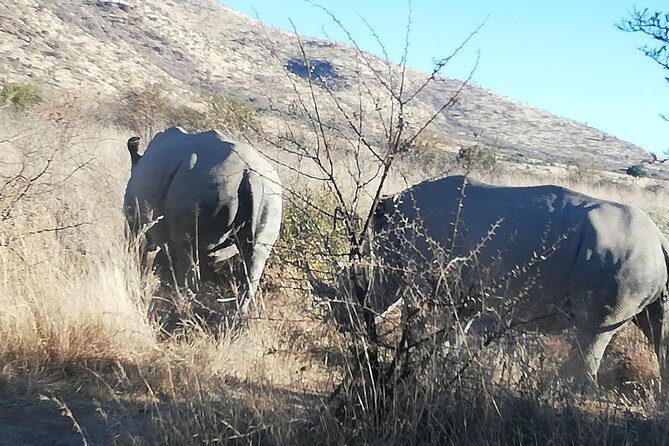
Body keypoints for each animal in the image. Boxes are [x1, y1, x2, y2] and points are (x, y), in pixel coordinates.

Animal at [124, 127, 282, 313]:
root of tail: (251, 175)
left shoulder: (134, 223)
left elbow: (137, 249)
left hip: (203, 187)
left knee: (187, 252)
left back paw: (180, 305)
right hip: (271, 195)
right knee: (255, 257)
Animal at [373, 175, 669, 387]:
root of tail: (659, 239)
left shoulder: (424, 276)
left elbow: (417, 321)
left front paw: (409, 360)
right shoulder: (463, 292)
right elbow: (452, 331)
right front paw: (442, 363)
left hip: (622, 259)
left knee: (591, 333)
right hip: (637, 262)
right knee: (653, 330)